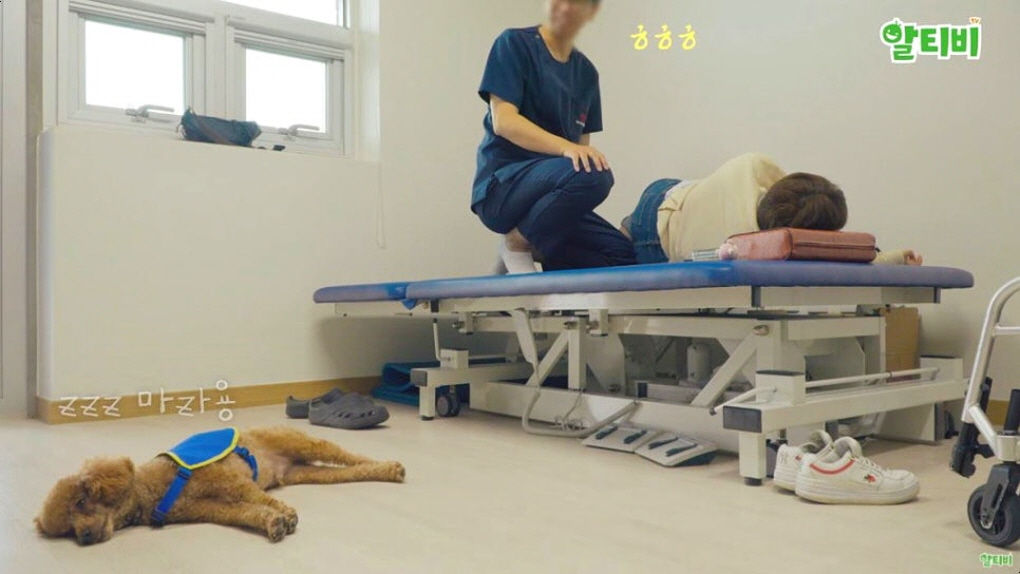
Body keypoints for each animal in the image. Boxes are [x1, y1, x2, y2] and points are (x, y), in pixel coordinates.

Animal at [35, 426, 405, 545]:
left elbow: (254, 496)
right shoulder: (211, 508)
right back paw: (383, 471)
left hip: (305, 443)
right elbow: (249, 512)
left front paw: (284, 512)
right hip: (304, 473)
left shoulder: (229, 479)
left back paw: (391, 466)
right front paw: (275, 522)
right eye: (68, 529)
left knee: (351, 455)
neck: (151, 491)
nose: (84, 537)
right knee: (348, 471)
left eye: (81, 502)